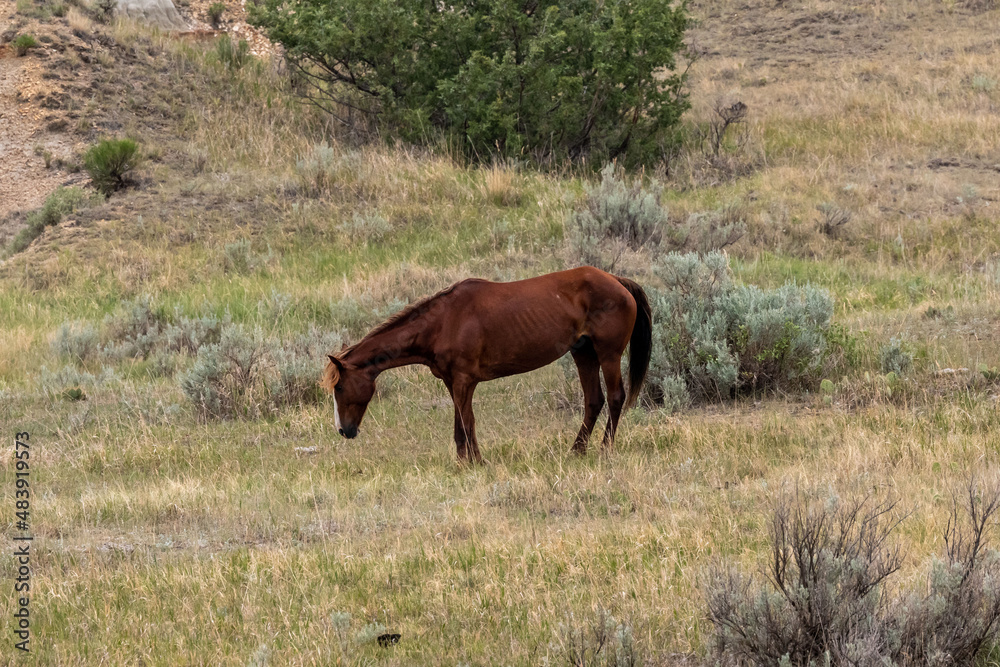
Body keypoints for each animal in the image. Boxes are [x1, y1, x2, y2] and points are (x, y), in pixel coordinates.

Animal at [321, 266, 652, 463]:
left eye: (339, 388)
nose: (343, 431)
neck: (443, 322)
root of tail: (618, 281)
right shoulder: (453, 381)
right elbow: (459, 422)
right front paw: (462, 460)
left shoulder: (465, 380)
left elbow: (468, 421)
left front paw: (477, 461)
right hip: (583, 354)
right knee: (593, 401)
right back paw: (576, 450)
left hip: (608, 355)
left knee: (615, 397)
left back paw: (605, 449)